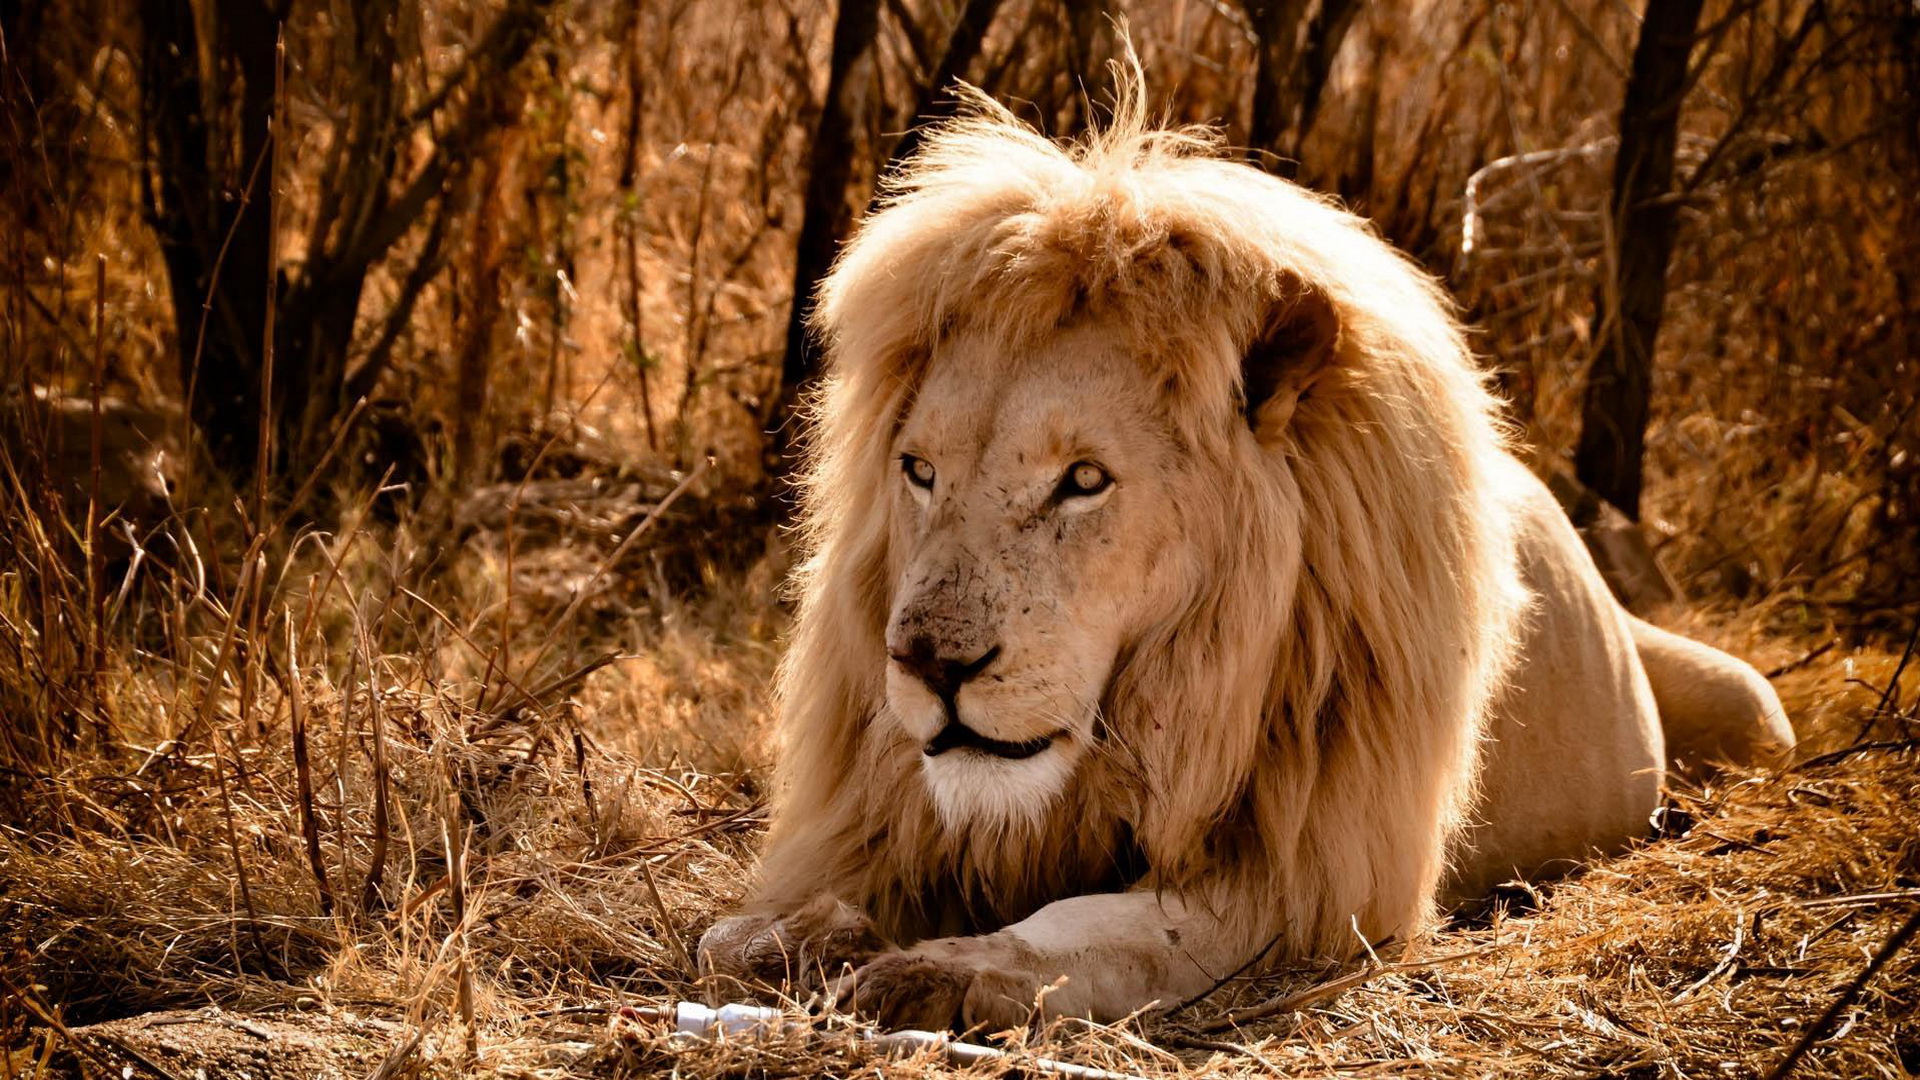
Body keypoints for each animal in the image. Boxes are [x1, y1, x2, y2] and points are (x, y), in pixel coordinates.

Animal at [698, 77, 1789, 1022]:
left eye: (1083, 480)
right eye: (920, 471)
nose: (927, 666)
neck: (1176, 692)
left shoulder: (1308, 880)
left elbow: (1098, 931)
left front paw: (939, 974)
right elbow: (737, 932)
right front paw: (796, 934)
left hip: (1752, 705)